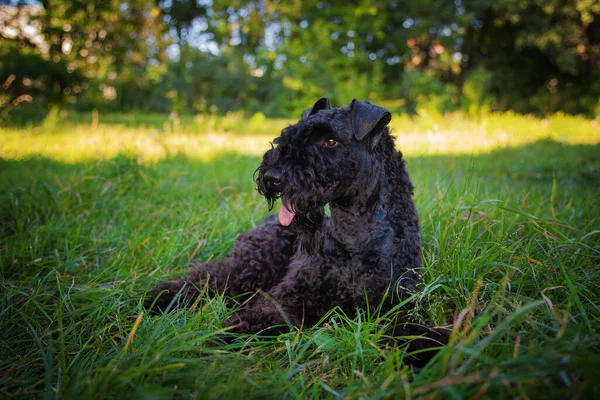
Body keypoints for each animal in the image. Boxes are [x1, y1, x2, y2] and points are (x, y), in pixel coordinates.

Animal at [146, 99, 446, 362]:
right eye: (290, 132)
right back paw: (157, 298)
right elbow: (256, 318)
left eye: (330, 140)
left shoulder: (396, 305)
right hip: (249, 267)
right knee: (204, 279)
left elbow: (415, 333)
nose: (272, 177)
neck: (354, 241)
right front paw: (214, 342)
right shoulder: (290, 296)